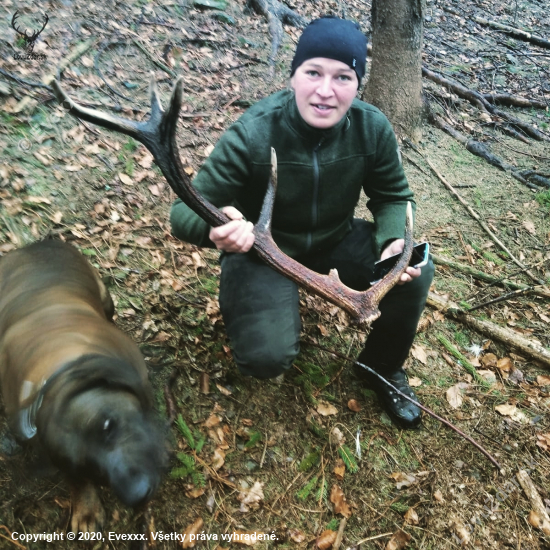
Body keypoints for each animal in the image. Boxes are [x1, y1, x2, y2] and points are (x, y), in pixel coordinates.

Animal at [0, 243, 166, 536]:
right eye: (87, 466)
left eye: (108, 425)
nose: (138, 495)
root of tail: (36, 244)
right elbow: (76, 482)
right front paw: (86, 507)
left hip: (105, 296)